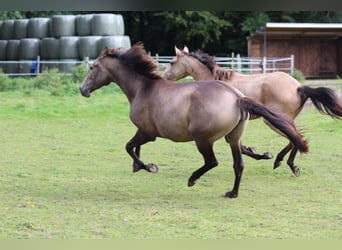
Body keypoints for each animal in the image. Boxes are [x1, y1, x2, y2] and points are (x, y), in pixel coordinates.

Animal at [79, 44, 308, 198]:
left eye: (92, 67)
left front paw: (148, 167)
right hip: (233, 138)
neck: (143, 88)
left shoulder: (147, 133)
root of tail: (237, 98)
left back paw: (193, 179)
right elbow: (134, 148)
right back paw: (233, 192)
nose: (82, 89)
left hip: (203, 140)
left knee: (212, 162)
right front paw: (138, 166)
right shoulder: (144, 132)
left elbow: (128, 147)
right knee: (239, 164)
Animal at [162, 46, 342, 176]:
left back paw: (288, 164)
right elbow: (240, 147)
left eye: (171, 62)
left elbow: (240, 147)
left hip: (272, 121)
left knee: (295, 138)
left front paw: (263, 155)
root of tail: (298, 87)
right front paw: (261, 153)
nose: (164, 77)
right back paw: (282, 162)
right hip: (284, 119)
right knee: (295, 138)